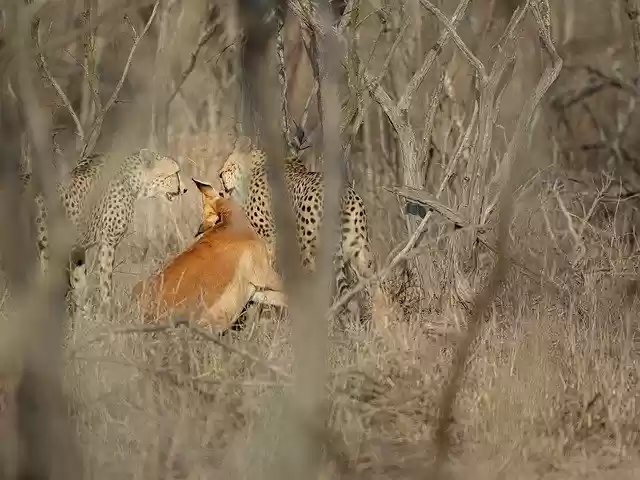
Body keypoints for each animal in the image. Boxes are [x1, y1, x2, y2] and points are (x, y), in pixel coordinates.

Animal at [21, 148, 188, 307]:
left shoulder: (77, 249)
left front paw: (84, 312)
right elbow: (105, 279)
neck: (133, 179)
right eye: (175, 173)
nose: (185, 189)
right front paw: (106, 307)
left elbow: (80, 284)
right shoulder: (108, 242)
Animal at [218, 135, 389, 324]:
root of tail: (343, 193)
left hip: (310, 251)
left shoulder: (267, 237)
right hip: (360, 249)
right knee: (377, 289)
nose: (220, 177)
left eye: (227, 168)